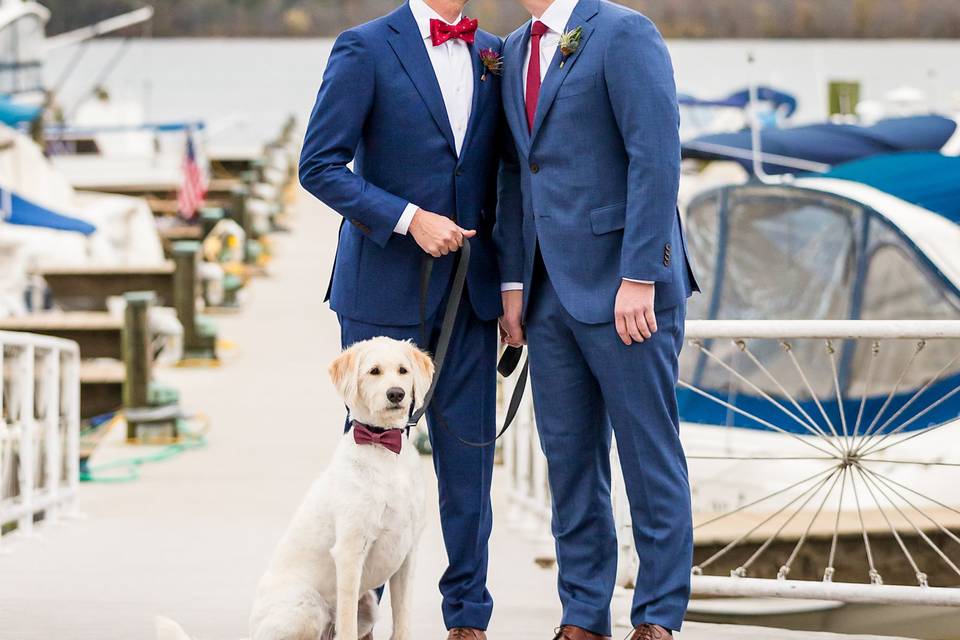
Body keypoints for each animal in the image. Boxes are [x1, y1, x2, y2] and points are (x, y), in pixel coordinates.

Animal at [159, 338, 434, 636]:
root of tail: (252, 632)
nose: (396, 394)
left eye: (403, 370)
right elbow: (347, 625)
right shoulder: (350, 552)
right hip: (306, 606)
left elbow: (402, 621)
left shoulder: (407, 554)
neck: (383, 449)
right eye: (374, 371)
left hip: (368, 606)